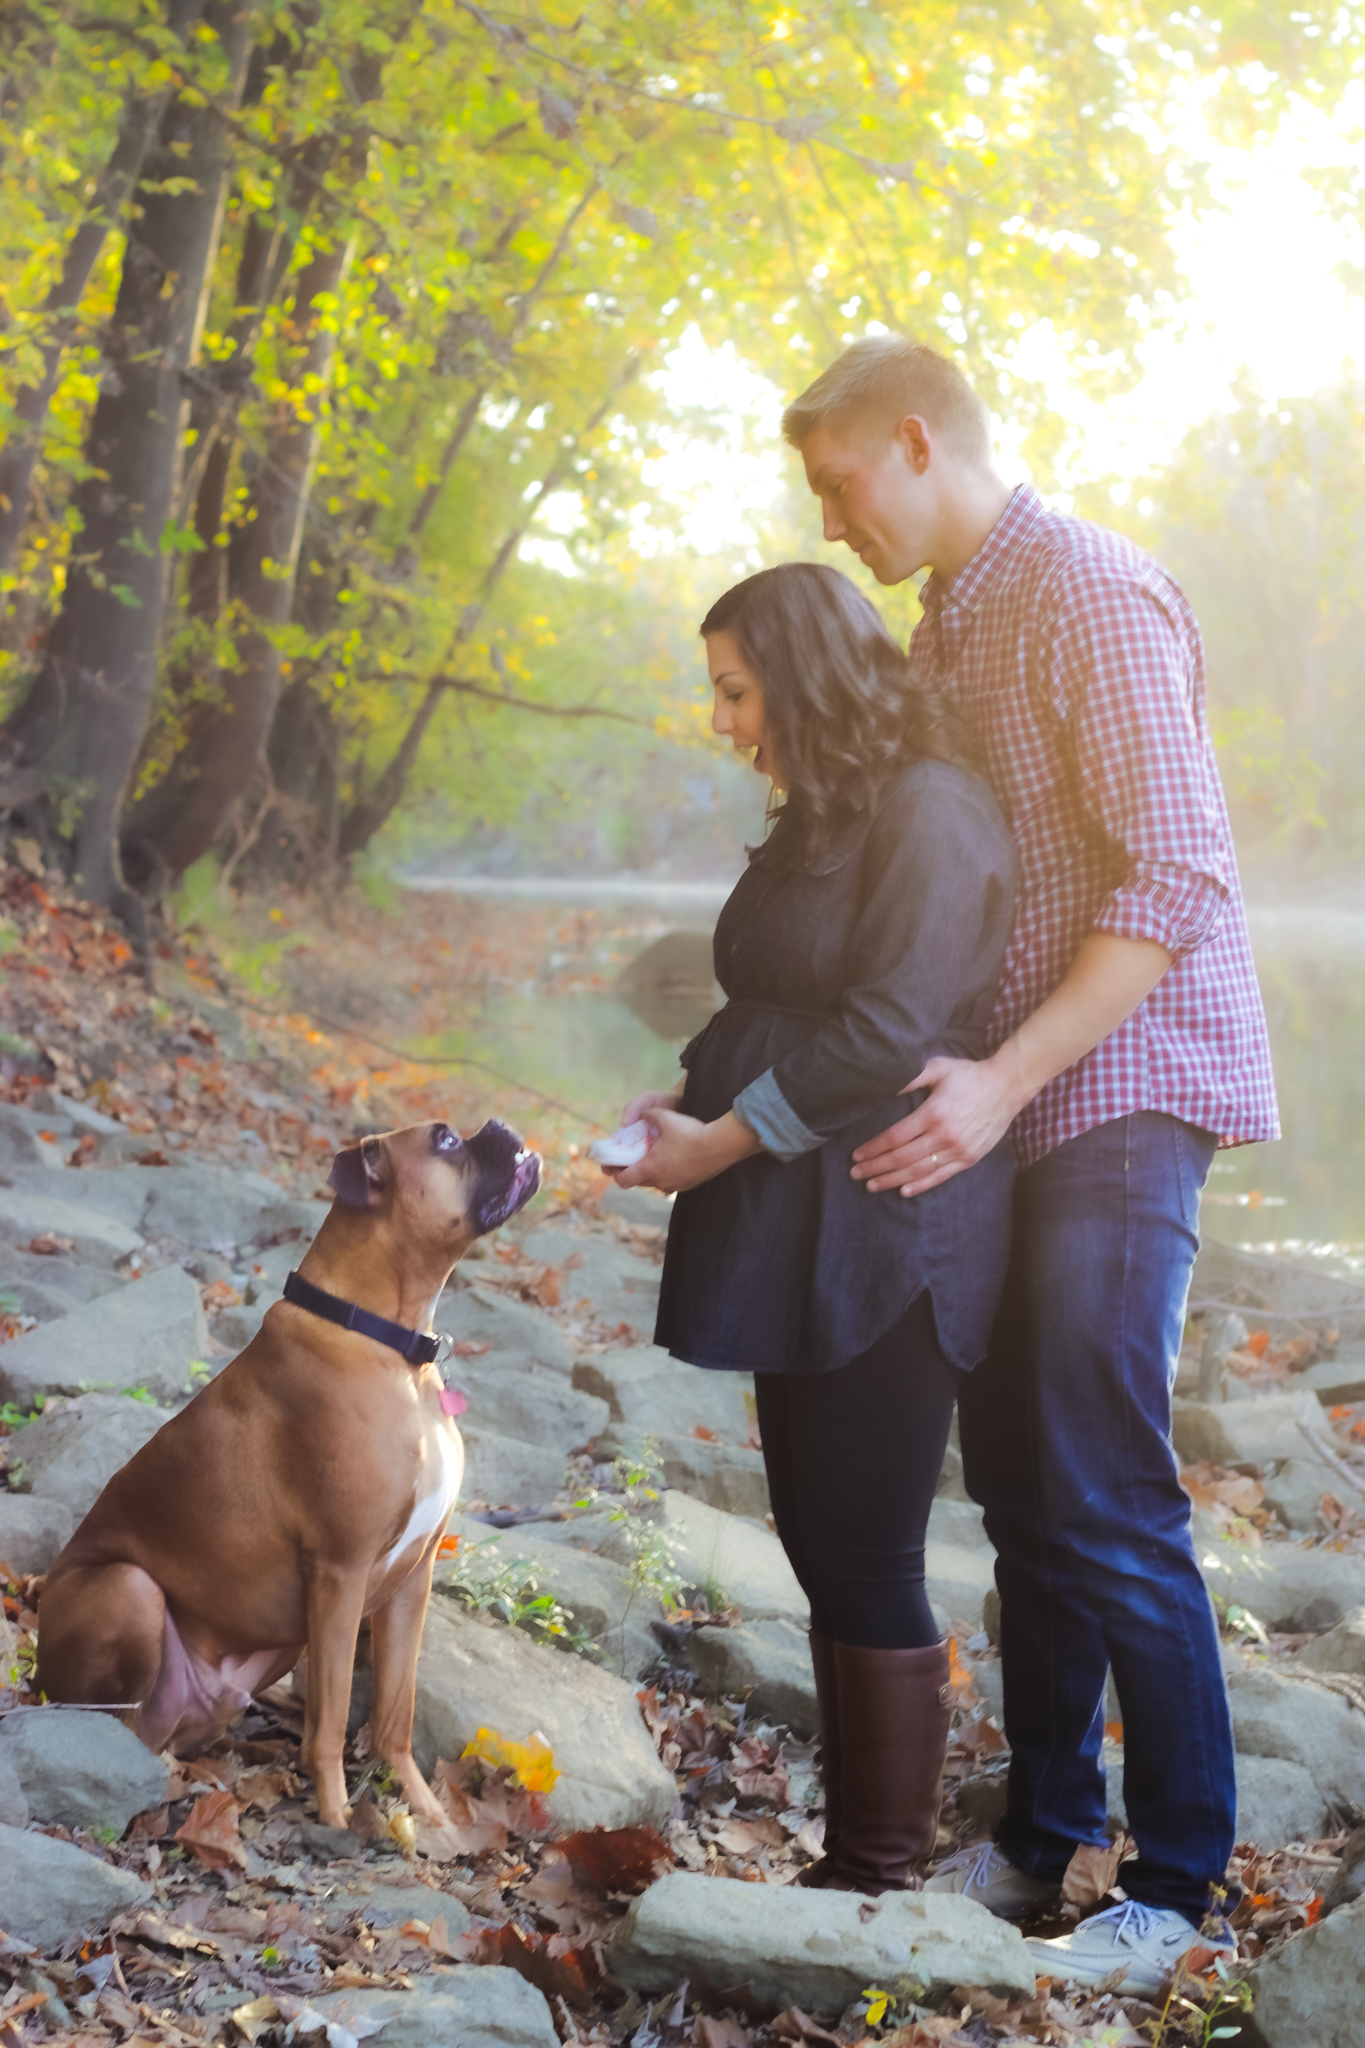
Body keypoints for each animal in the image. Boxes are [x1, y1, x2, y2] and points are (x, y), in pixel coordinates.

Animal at [37, 1114, 540, 1835]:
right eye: (446, 1140)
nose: (502, 1125)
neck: (389, 1345)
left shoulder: (411, 1582)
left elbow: (396, 1713)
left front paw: (421, 1809)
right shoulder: (340, 1572)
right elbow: (331, 1717)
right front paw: (335, 1813)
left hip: (276, 1645)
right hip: (131, 1591)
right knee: (113, 1722)